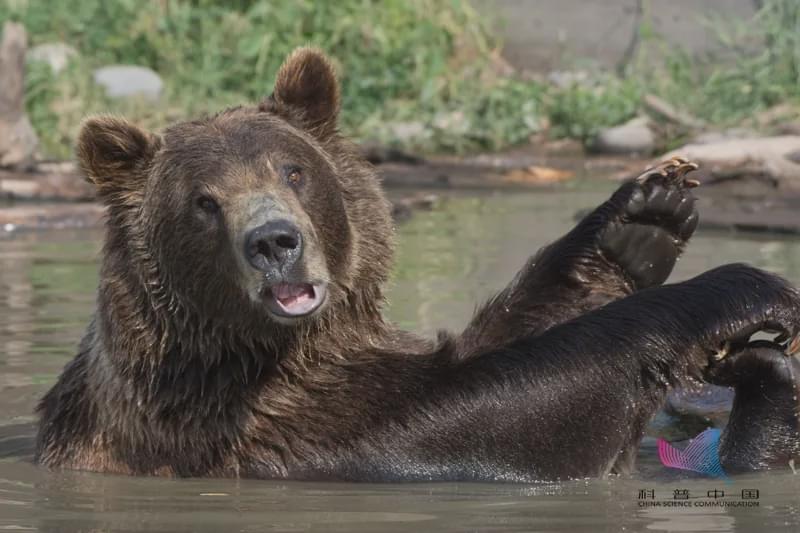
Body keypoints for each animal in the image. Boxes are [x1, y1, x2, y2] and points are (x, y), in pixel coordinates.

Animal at [34, 47, 800, 480]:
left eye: (292, 170)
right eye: (204, 202)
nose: (275, 242)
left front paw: (646, 215)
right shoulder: (272, 425)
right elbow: (511, 408)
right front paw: (740, 290)